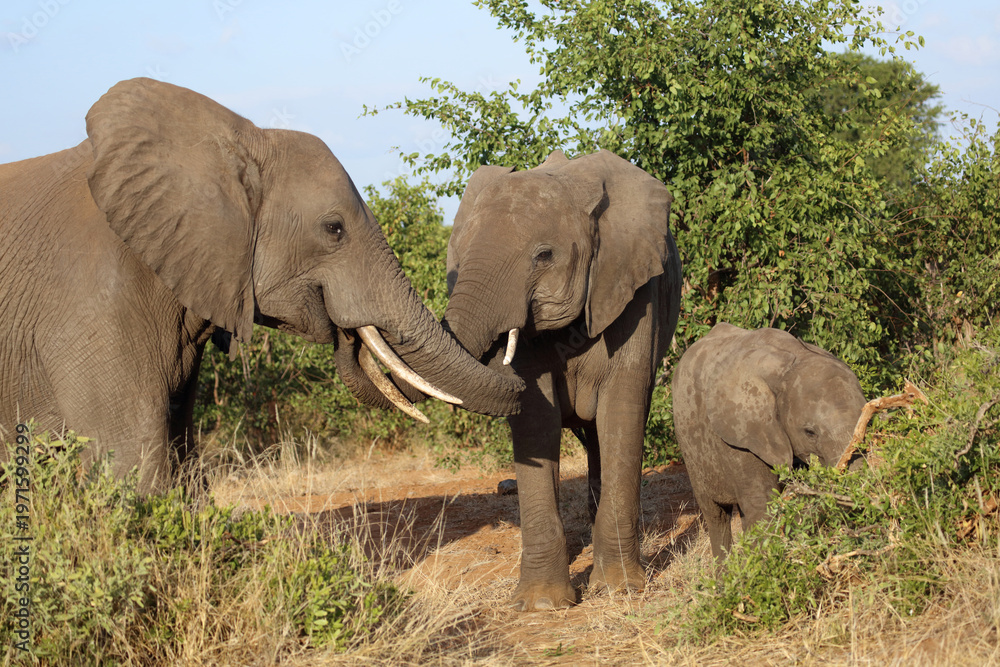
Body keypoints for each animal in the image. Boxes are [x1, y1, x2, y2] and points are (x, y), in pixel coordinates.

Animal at [0, 78, 522, 494]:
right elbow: (130, 460)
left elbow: (182, 453)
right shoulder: (90, 300)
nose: (349, 334)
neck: (236, 143)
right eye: (334, 229)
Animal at [442, 149, 683, 611]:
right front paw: (541, 606)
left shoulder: (636, 289)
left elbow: (621, 409)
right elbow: (537, 419)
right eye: (457, 257)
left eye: (543, 256)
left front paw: (620, 590)